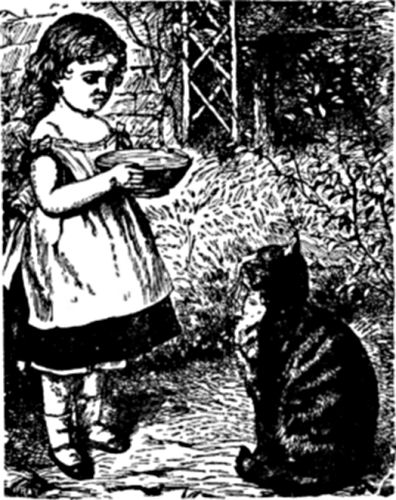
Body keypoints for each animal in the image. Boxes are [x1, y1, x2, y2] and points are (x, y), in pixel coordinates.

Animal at [234, 236, 378, 494]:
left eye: (256, 262)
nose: (241, 262)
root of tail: (352, 465)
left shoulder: (265, 389)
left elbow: (264, 430)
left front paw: (260, 459)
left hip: (300, 415)